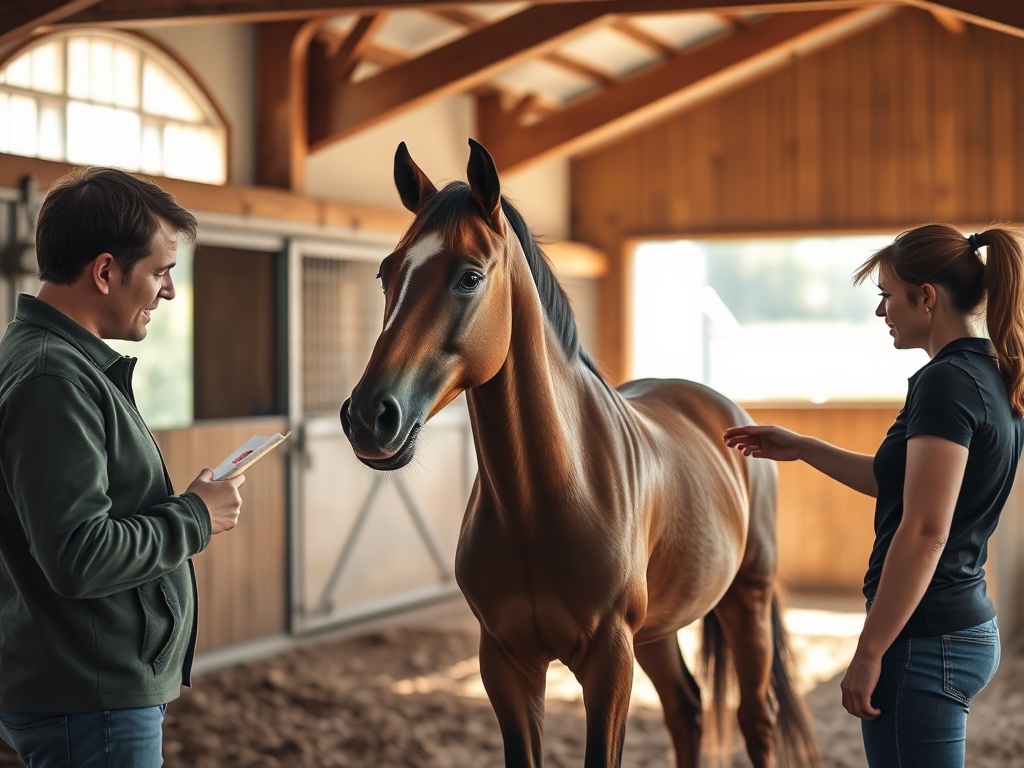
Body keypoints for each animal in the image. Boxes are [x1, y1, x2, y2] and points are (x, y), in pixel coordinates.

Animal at [340, 138, 820, 768]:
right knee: (686, 709)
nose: (368, 416)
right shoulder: (506, 664)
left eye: (469, 277)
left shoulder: (609, 661)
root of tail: (726, 412)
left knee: (755, 719)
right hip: (658, 630)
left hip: (747, 601)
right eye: (386, 273)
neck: (547, 497)